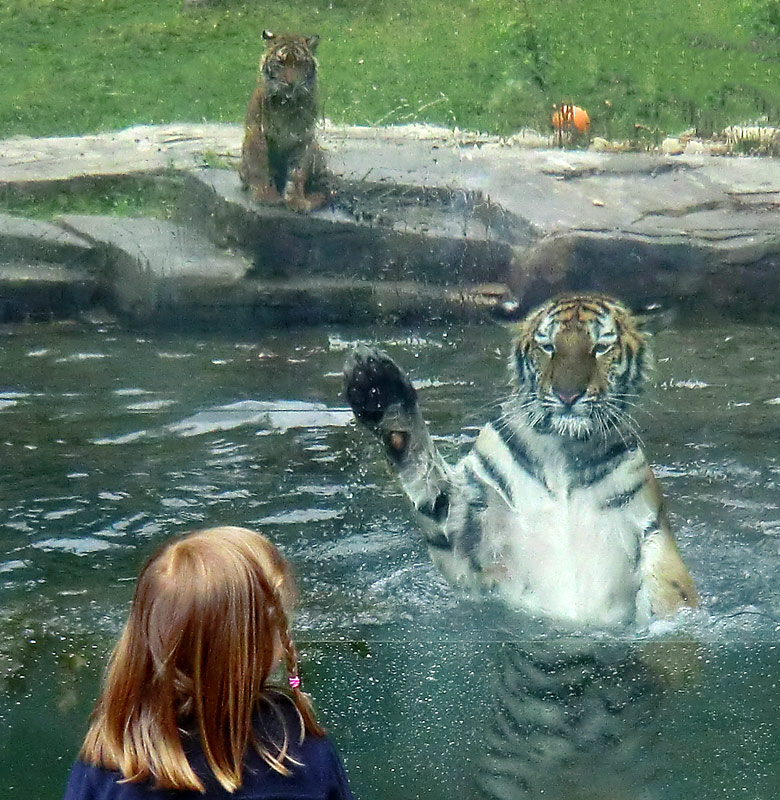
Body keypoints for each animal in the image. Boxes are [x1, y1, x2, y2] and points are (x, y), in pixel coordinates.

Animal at [239, 30, 328, 212]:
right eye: (280, 63)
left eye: (300, 64)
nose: (291, 83)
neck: (286, 105)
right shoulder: (257, 133)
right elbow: (260, 166)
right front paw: (265, 196)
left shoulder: (303, 138)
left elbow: (297, 173)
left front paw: (297, 201)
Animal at [344, 294, 696, 800]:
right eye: (548, 347)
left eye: (601, 346)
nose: (568, 396)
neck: (566, 454)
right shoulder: (464, 531)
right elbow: (423, 476)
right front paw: (377, 387)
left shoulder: (650, 524)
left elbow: (672, 589)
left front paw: (674, 653)